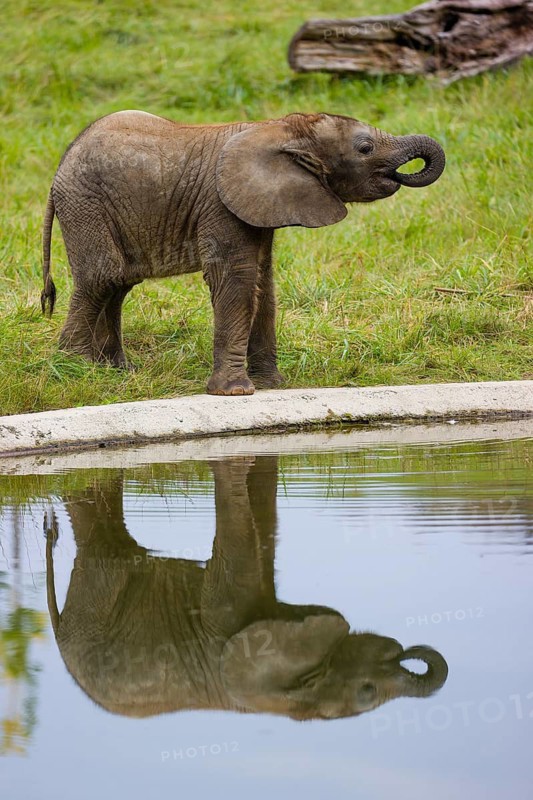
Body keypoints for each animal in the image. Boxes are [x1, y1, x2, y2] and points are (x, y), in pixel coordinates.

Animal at [41, 111, 445, 394]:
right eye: (365, 149)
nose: (402, 174)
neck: (280, 126)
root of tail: (60, 167)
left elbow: (263, 284)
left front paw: (272, 385)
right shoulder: (221, 205)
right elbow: (236, 279)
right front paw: (236, 391)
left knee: (120, 282)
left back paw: (113, 370)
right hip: (85, 205)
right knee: (103, 276)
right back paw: (75, 367)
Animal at [45, 456, 448, 720]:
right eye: (368, 692)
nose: (413, 652)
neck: (288, 709)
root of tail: (61, 637)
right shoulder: (220, 624)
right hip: (103, 600)